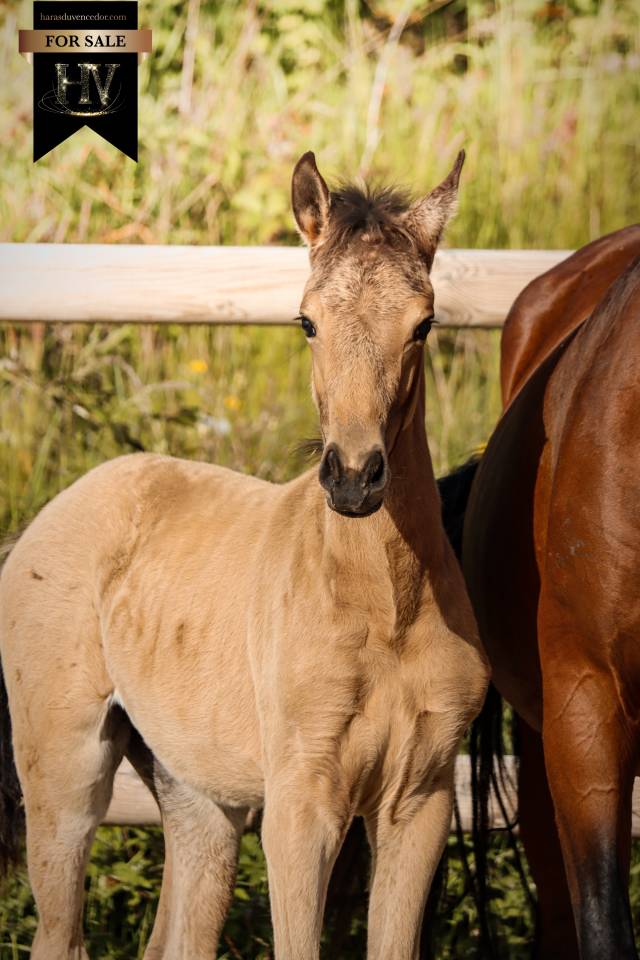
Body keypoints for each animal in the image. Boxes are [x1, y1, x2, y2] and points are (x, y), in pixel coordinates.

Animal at [0, 150, 489, 960]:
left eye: (423, 324)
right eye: (306, 320)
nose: (354, 478)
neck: (382, 605)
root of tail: (57, 510)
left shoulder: (419, 803)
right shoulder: (301, 807)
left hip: (199, 800)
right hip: (66, 777)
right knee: (59, 934)